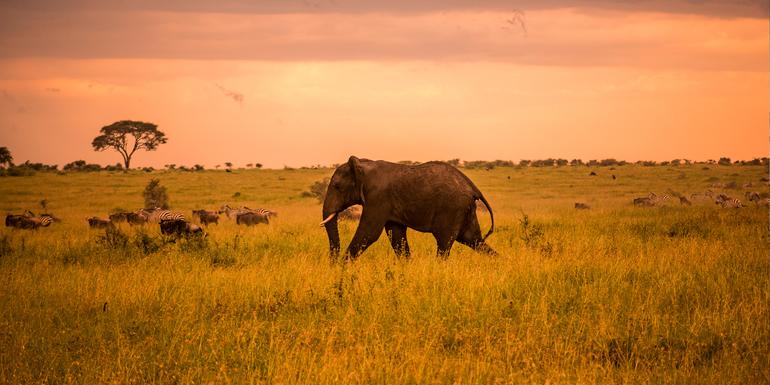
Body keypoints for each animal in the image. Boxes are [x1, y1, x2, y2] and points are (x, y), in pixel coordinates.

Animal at [320, 154, 496, 260]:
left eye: (336, 186)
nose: (332, 262)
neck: (363, 164)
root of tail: (472, 187)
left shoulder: (377, 198)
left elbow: (368, 233)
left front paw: (341, 268)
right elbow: (396, 235)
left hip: (452, 208)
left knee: (445, 244)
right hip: (465, 210)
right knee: (473, 240)